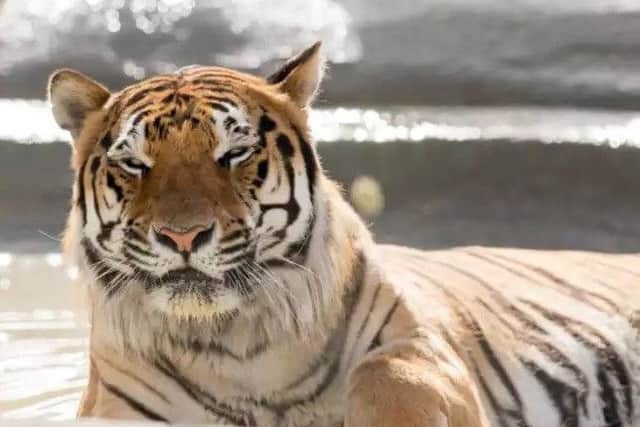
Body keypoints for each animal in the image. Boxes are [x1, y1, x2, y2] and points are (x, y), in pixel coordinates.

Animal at [47, 41, 640, 427]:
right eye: (135, 163)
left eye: (234, 153)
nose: (183, 237)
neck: (236, 345)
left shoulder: (416, 344)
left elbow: (386, 379)